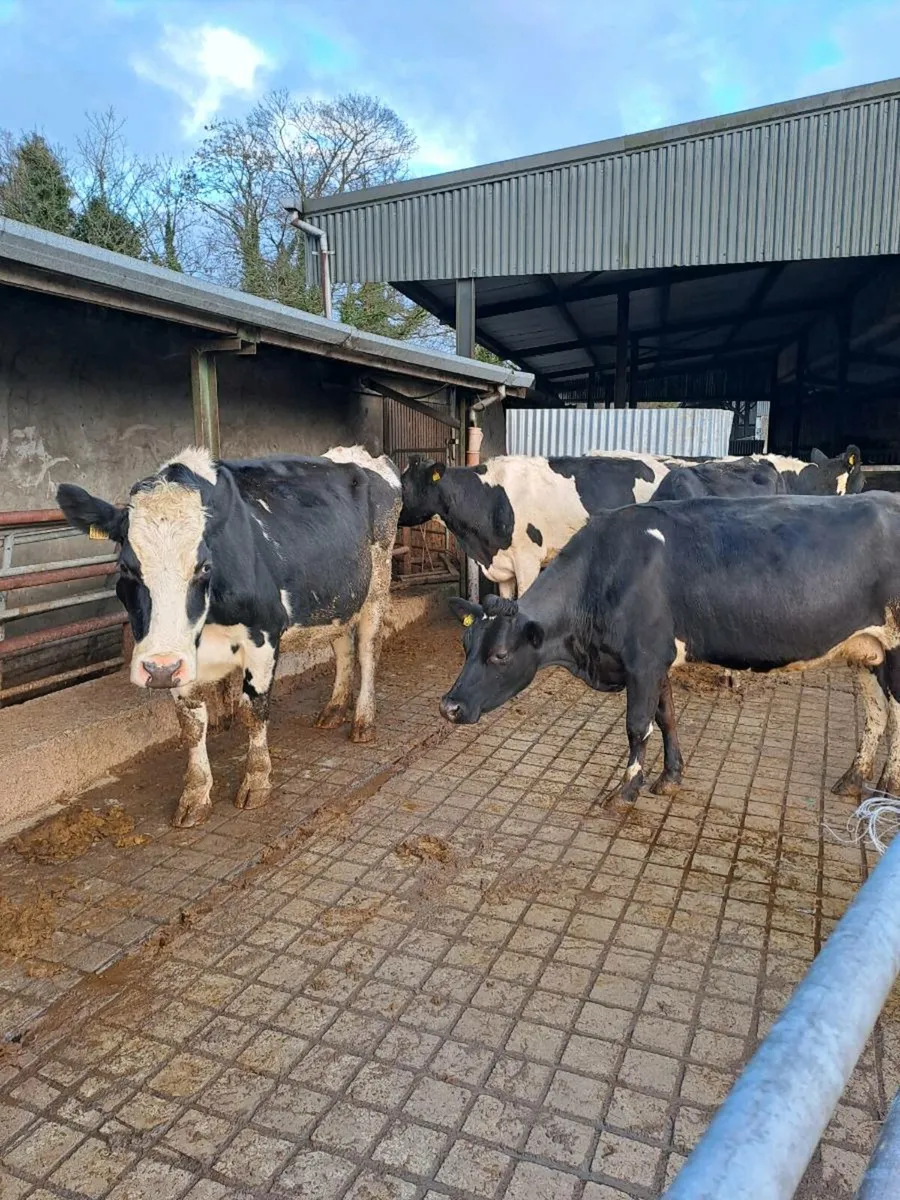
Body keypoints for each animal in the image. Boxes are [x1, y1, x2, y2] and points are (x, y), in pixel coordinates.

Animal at [56, 446, 401, 828]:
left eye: (204, 567)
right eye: (126, 567)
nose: (158, 669)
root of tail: (359, 454)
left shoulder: (263, 636)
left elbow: (254, 710)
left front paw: (256, 781)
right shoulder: (180, 659)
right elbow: (191, 724)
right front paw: (195, 795)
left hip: (377, 587)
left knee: (368, 651)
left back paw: (363, 721)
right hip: (336, 599)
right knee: (342, 647)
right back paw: (333, 709)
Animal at [439, 491, 900, 809]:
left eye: (500, 654)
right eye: (465, 644)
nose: (449, 707)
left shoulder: (643, 659)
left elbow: (637, 726)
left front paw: (626, 790)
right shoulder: (657, 660)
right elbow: (667, 718)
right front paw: (670, 777)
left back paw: (889, 788)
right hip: (867, 652)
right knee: (877, 712)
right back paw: (852, 780)